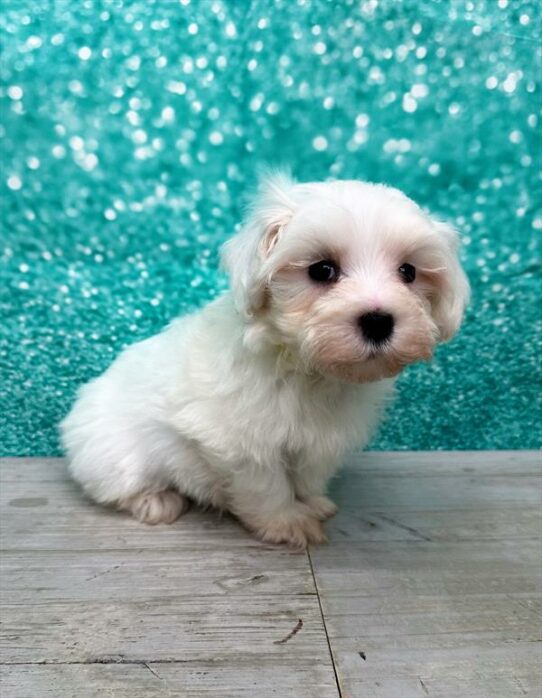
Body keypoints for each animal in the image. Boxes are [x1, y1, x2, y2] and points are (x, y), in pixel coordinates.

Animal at [60, 173, 472, 544]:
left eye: (408, 272)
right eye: (322, 270)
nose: (378, 320)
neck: (308, 372)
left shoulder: (320, 441)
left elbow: (308, 473)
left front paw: (312, 502)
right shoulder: (242, 443)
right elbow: (267, 486)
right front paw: (286, 522)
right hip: (113, 455)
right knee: (117, 487)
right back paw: (157, 500)